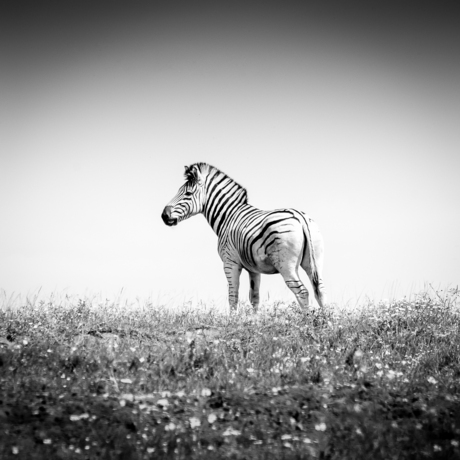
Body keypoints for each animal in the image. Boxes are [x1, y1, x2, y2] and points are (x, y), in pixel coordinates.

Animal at [162, 164, 328, 310]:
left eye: (188, 194)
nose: (164, 215)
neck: (228, 215)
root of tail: (299, 216)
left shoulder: (230, 263)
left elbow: (233, 297)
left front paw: (232, 322)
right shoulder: (253, 269)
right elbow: (254, 298)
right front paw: (254, 323)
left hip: (286, 265)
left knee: (302, 292)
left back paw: (308, 321)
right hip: (314, 261)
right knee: (320, 291)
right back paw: (325, 322)